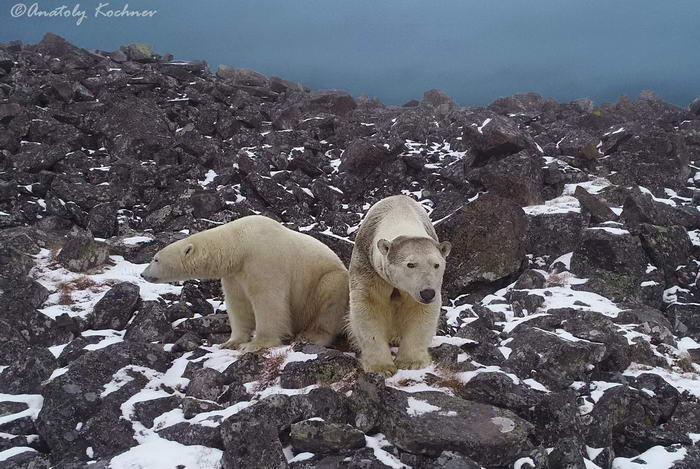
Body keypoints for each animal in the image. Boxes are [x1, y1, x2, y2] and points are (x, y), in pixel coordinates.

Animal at [141, 214, 350, 350]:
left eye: (155, 259)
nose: (143, 274)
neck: (239, 244)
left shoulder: (263, 259)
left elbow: (268, 301)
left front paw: (256, 344)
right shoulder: (234, 274)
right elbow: (238, 304)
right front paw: (231, 342)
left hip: (329, 281)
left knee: (329, 300)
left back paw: (310, 337)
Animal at [348, 196, 452, 374]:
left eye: (436, 264)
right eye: (410, 264)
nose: (427, 293)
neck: (399, 214)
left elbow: (419, 311)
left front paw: (411, 362)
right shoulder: (368, 268)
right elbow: (369, 306)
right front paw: (381, 367)